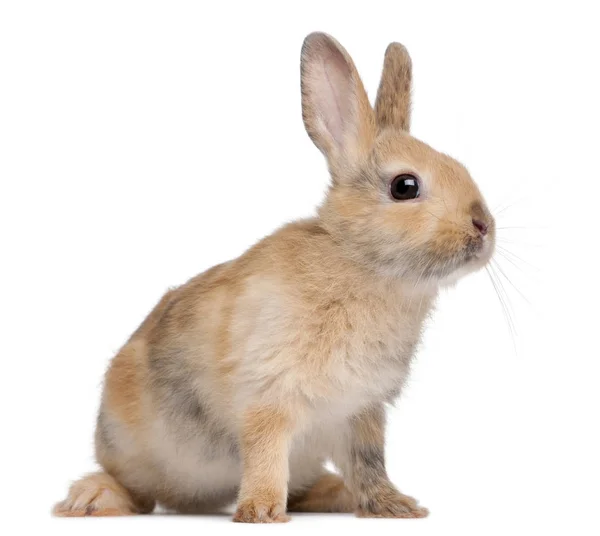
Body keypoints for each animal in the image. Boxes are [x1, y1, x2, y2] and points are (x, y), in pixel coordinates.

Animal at [55, 32, 496, 524]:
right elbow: (266, 452)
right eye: (405, 186)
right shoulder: (269, 396)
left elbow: (369, 464)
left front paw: (394, 507)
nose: (483, 226)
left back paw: (335, 493)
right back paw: (91, 498)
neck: (359, 263)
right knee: (135, 490)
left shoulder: (361, 413)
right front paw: (262, 511)